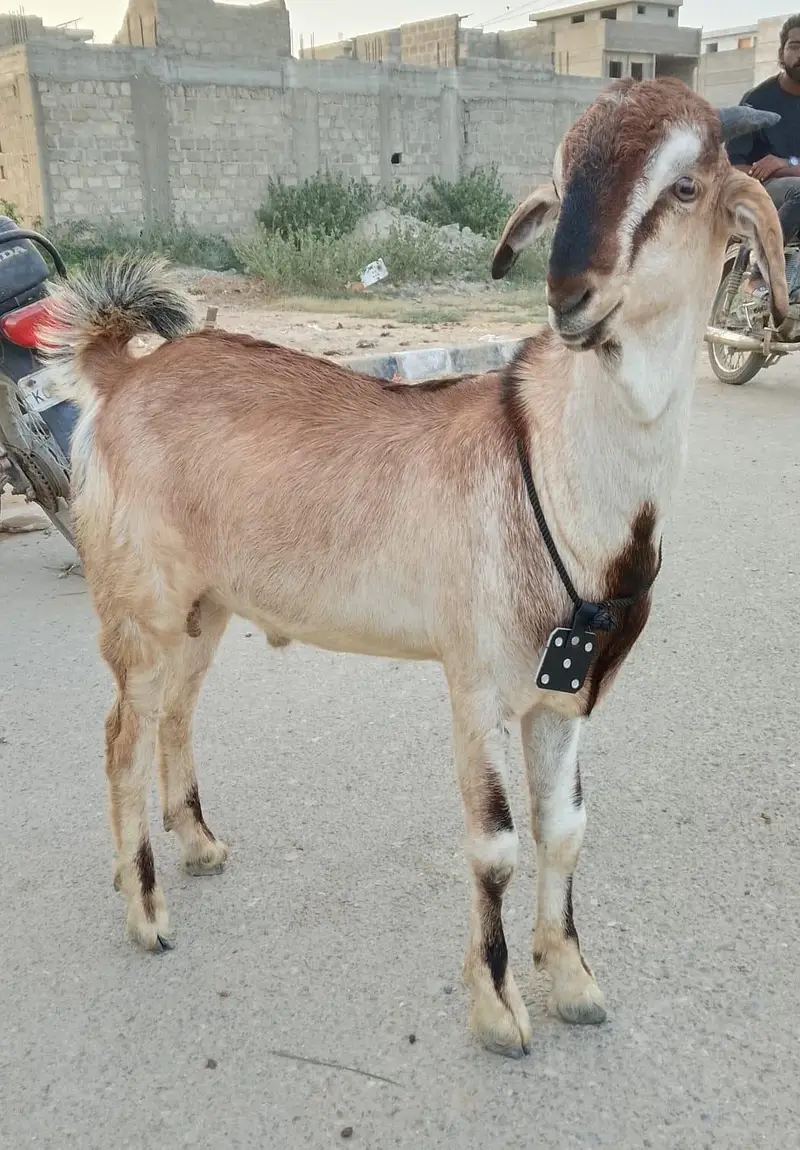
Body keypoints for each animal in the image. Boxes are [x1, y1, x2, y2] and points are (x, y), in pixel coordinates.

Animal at [49, 78, 784, 1059]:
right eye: (560, 184)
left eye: (685, 188)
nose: (571, 294)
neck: (555, 474)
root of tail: (122, 378)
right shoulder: (474, 680)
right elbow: (497, 843)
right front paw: (500, 1008)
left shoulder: (566, 695)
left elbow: (565, 828)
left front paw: (575, 982)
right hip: (143, 604)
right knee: (121, 739)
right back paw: (147, 913)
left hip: (206, 607)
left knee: (175, 713)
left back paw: (199, 846)